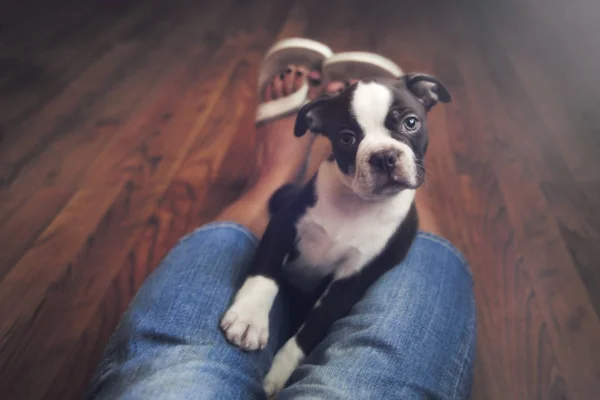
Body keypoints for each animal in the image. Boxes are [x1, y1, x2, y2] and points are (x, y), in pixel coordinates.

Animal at [220, 73, 450, 396]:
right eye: (347, 138)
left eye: (411, 123)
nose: (384, 157)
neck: (357, 203)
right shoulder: (284, 224)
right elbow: (265, 274)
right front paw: (250, 317)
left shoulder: (351, 281)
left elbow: (313, 328)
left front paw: (279, 372)